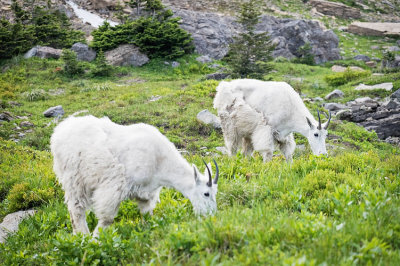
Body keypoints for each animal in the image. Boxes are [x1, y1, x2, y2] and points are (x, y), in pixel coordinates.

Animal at [50, 115, 220, 236]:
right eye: (206, 193)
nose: (211, 215)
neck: (159, 160)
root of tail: (58, 133)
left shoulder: (147, 192)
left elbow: (146, 214)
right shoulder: (116, 185)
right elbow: (107, 218)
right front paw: (96, 240)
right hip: (74, 177)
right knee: (77, 208)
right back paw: (83, 236)